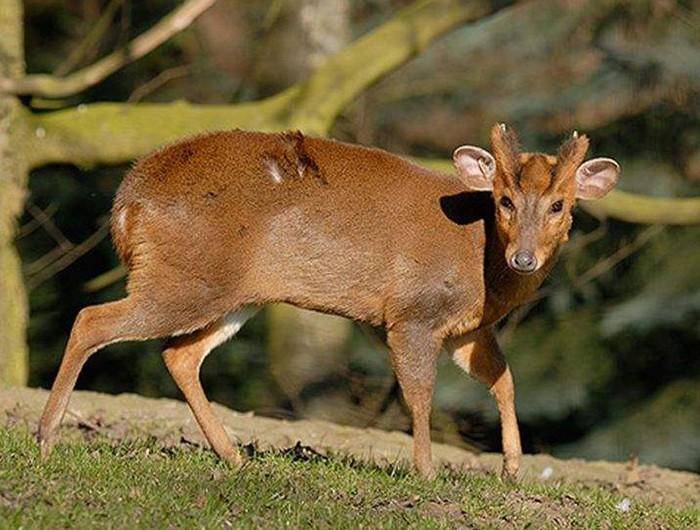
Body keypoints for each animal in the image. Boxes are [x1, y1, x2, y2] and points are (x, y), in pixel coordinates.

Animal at [38, 124, 616, 478]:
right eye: (504, 200)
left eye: (560, 204)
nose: (524, 259)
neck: (482, 264)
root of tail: (125, 204)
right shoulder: (412, 312)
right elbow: (420, 393)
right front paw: (426, 471)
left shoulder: (467, 328)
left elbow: (504, 379)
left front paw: (512, 469)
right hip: (183, 278)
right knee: (91, 319)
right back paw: (46, 436)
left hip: (228, 292)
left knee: (179, 355)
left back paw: (235, 458)